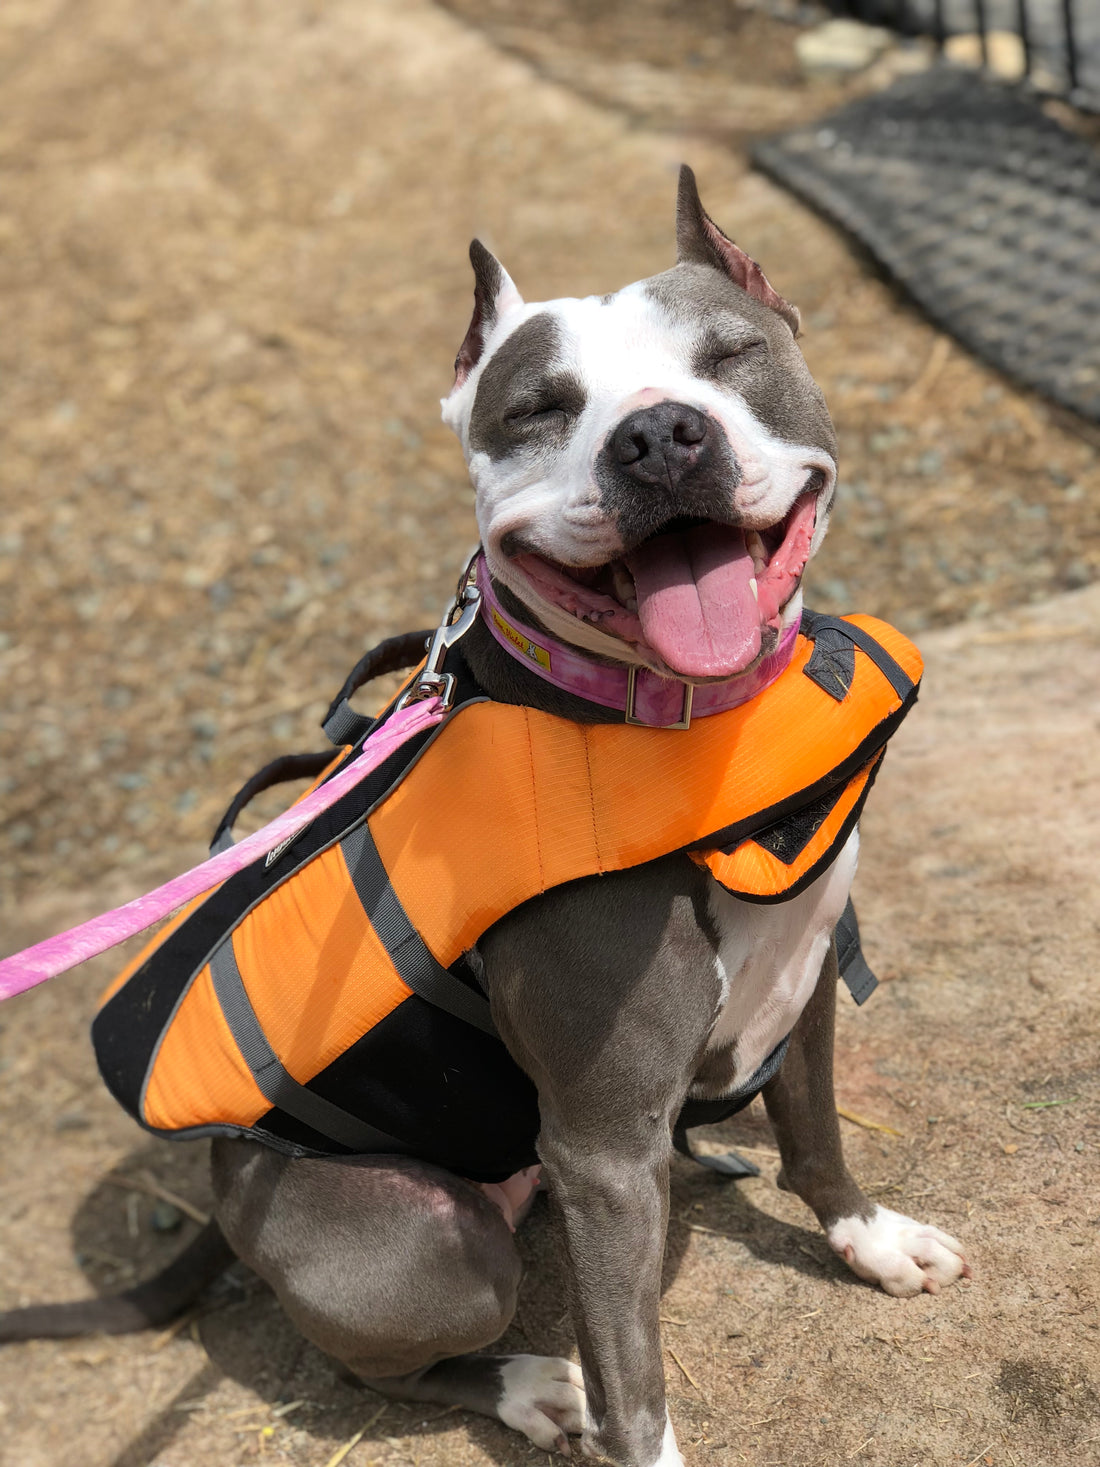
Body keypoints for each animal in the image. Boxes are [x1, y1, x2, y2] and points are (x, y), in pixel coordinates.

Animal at [2, 166, 973, 1461]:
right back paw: (526, 1388)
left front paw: (868, 1238)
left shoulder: (805, 979)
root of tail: (217, 1188)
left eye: (730, 355)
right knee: (384, 1363)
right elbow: (634, 1383)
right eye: (537, 409)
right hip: (436, 1249)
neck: (678, 724)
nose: (657, 435)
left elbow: (814, 1129)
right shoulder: (604, 1154)